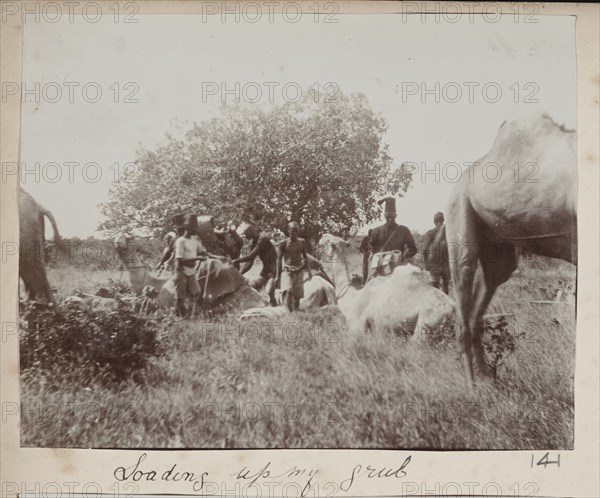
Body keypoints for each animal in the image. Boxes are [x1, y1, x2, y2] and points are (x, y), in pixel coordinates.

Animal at [318, 232, 454, 336]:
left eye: (328, 241)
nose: (322, 236)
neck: (351, 298)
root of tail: (453, 309)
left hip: (427, 322)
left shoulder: (356, 327)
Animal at [446, 114, 576, 386]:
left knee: (481, 301)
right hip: (458, 211)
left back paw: (488, 380)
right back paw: (471, 385)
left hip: (499, 248)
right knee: (463, 280)